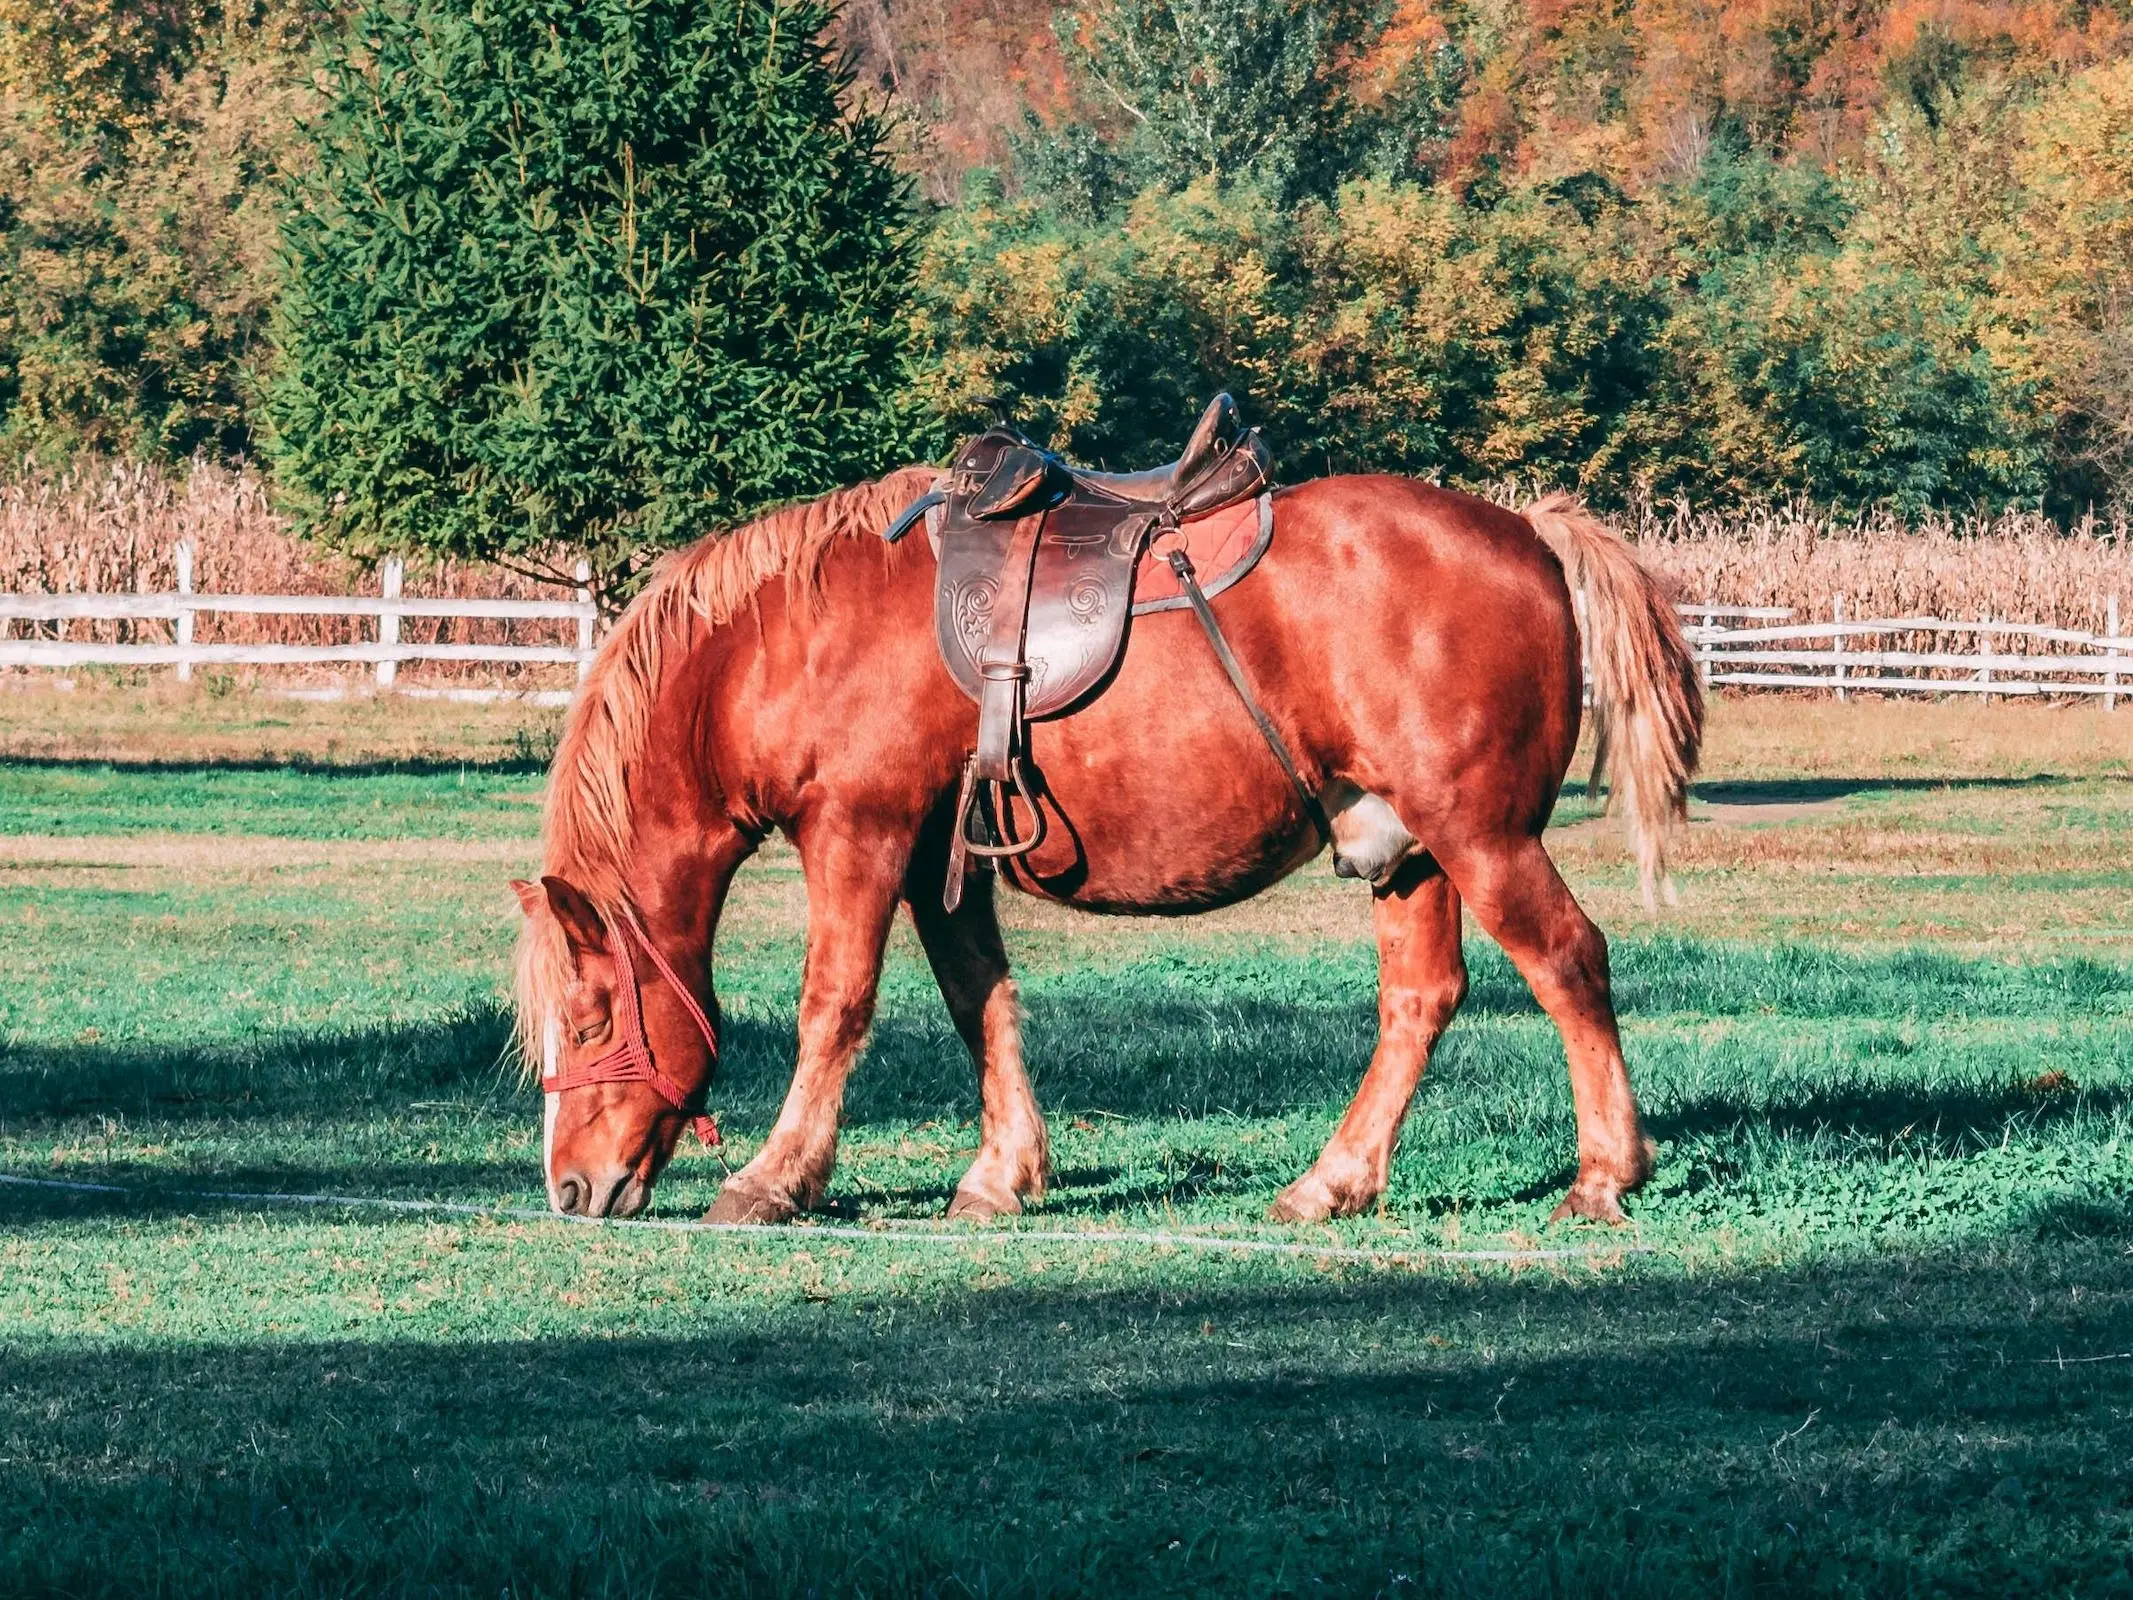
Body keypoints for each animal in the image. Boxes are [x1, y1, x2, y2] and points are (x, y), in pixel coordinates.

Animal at [511, 473, 1697, 1228]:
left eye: (591, 1019)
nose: (568, 1189)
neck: (786, 643)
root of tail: (1530, 532)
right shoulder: (942, 865)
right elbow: (981, 1002)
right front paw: (1002, 1172)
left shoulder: (860, 832)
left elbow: (833, 1005)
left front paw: (775, 1177)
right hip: (1406, 853)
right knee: (1420, 1000)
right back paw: (1332, 1183)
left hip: (1481, 838)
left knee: (1569, 962)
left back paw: (1604, 1176)